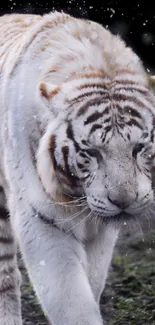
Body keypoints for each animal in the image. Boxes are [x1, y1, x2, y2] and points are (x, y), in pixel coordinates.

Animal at [0, 10, 155, 324]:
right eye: (92, 152)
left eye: (138, 148)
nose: (124, 202)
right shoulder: (42, 218)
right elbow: (69, 297)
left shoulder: (102, 230)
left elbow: (92, 280)